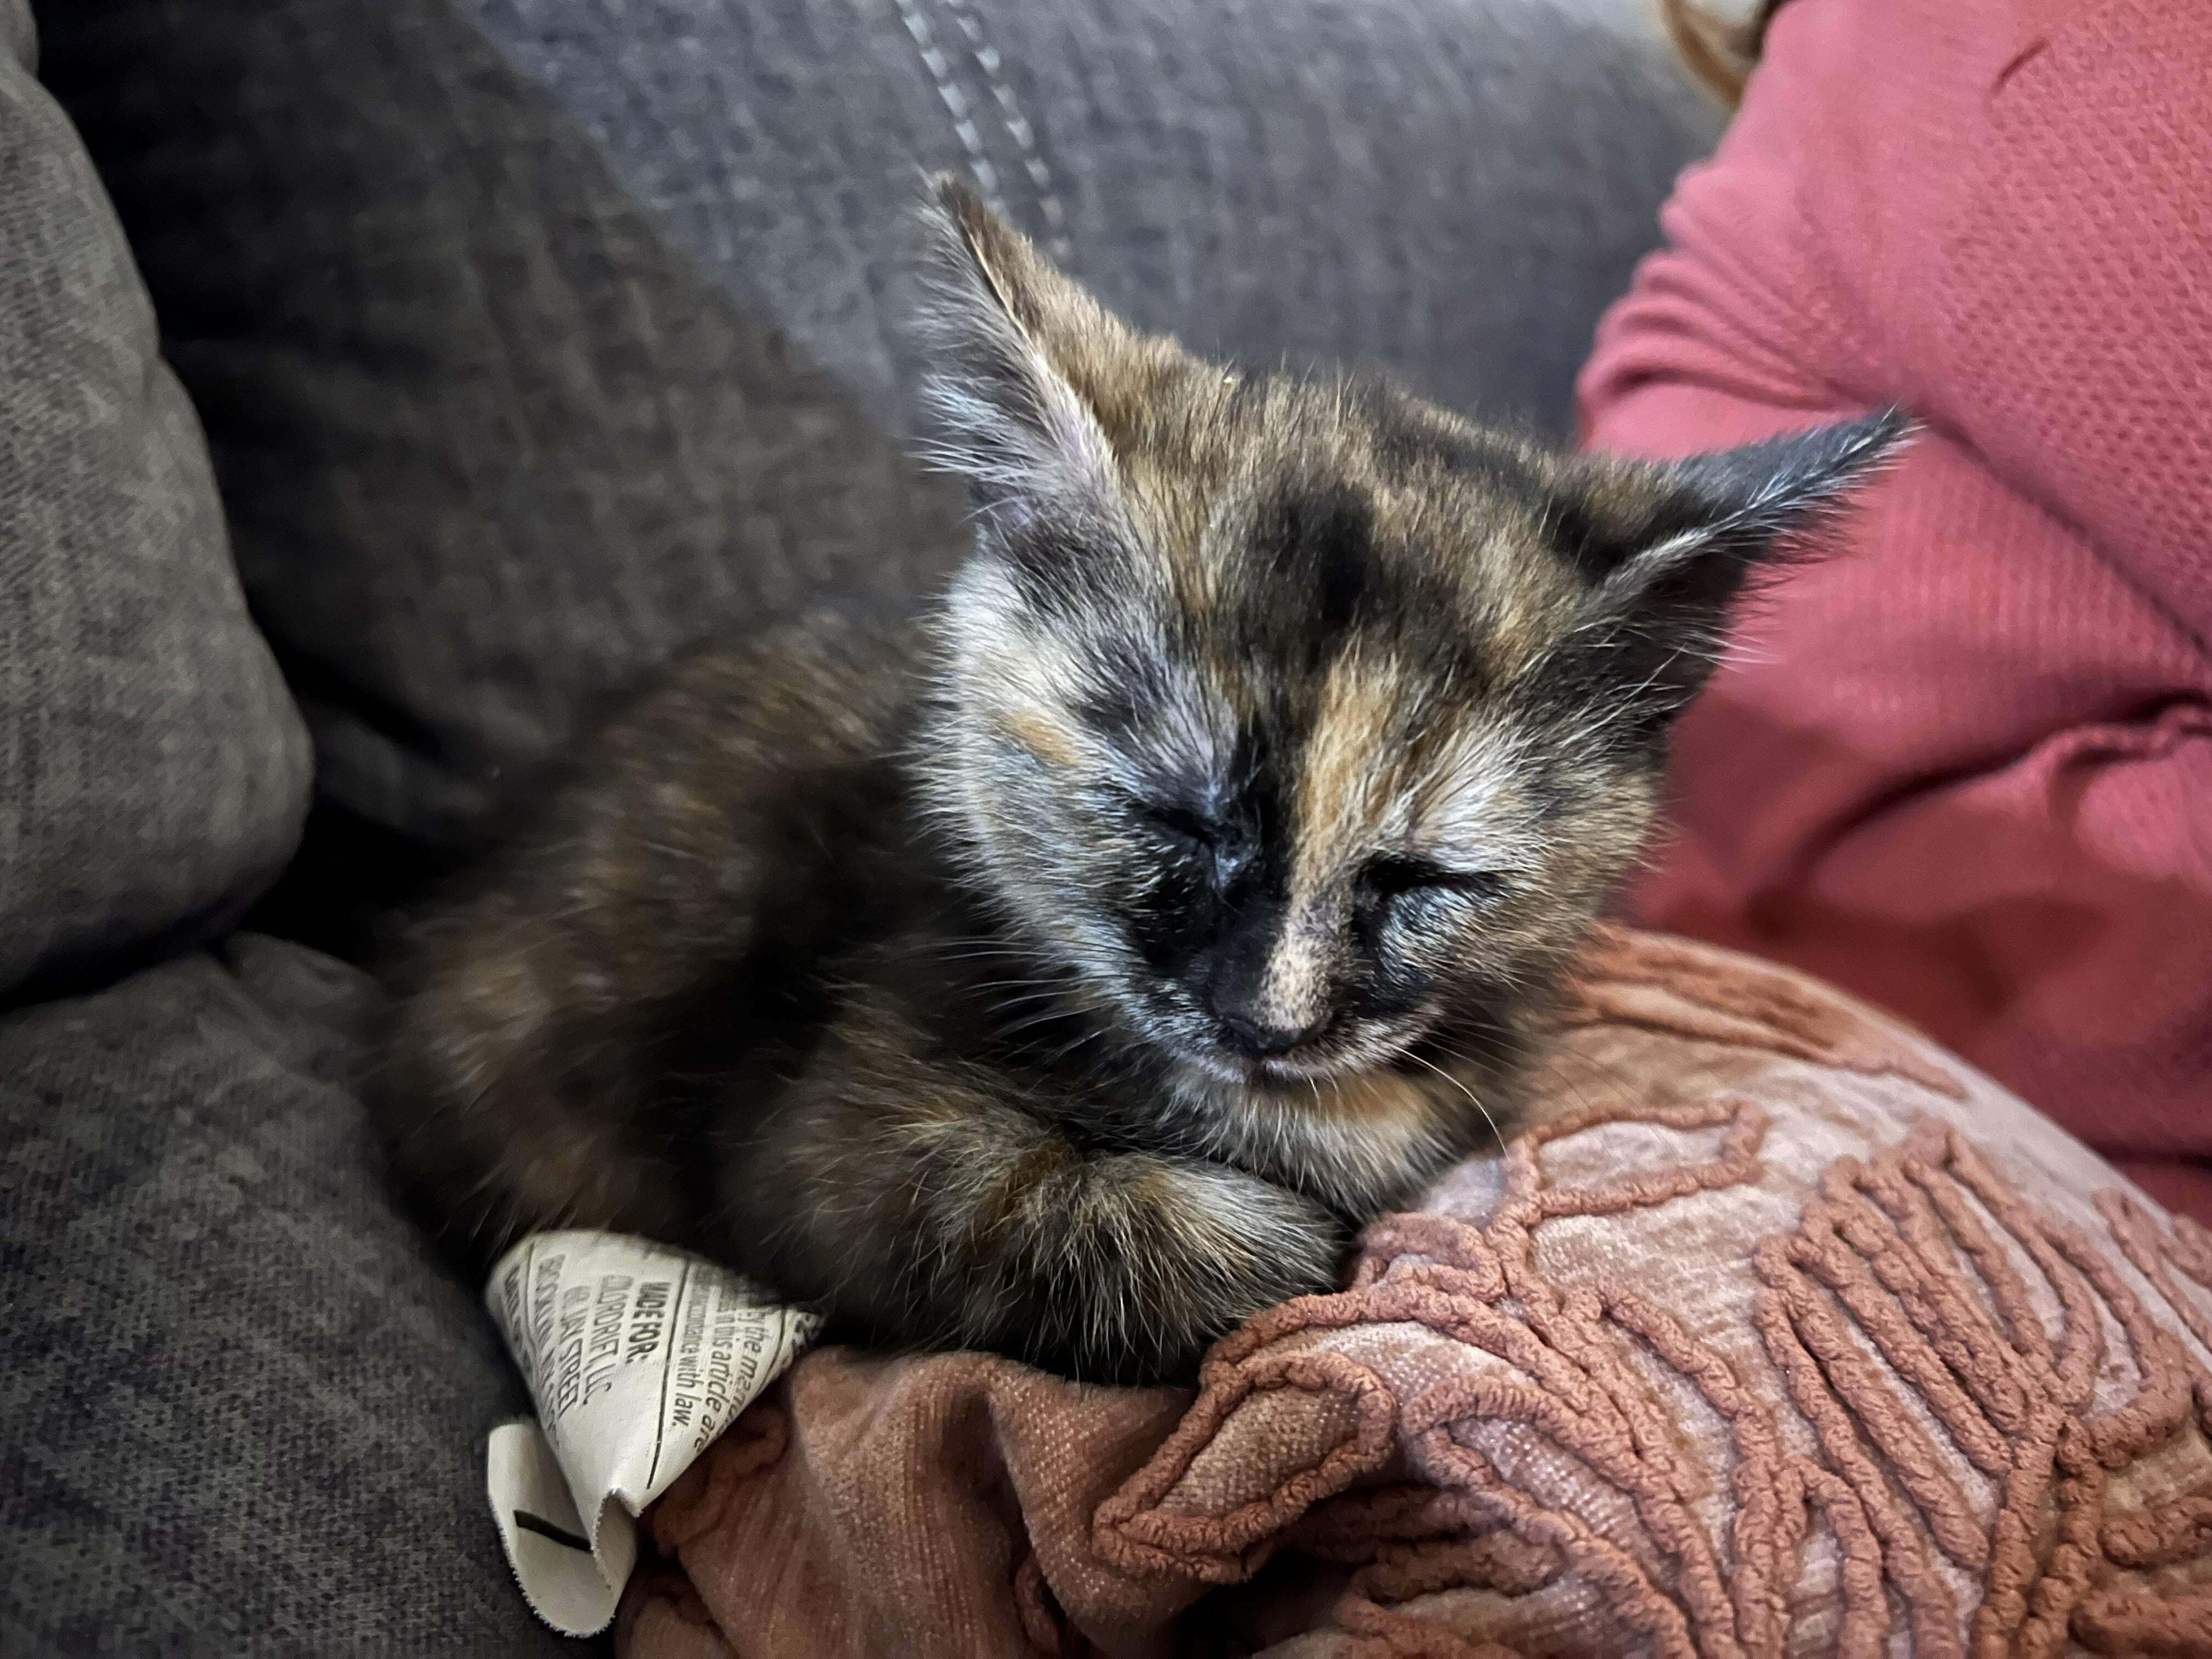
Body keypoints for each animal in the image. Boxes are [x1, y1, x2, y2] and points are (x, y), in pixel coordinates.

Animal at [371, 176, 1911, 1380]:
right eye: (1168, 815)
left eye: (1423, 880)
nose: (1264, 1020)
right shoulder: (816, 1143)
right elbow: (1157, 1235)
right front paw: (1291, 1232)